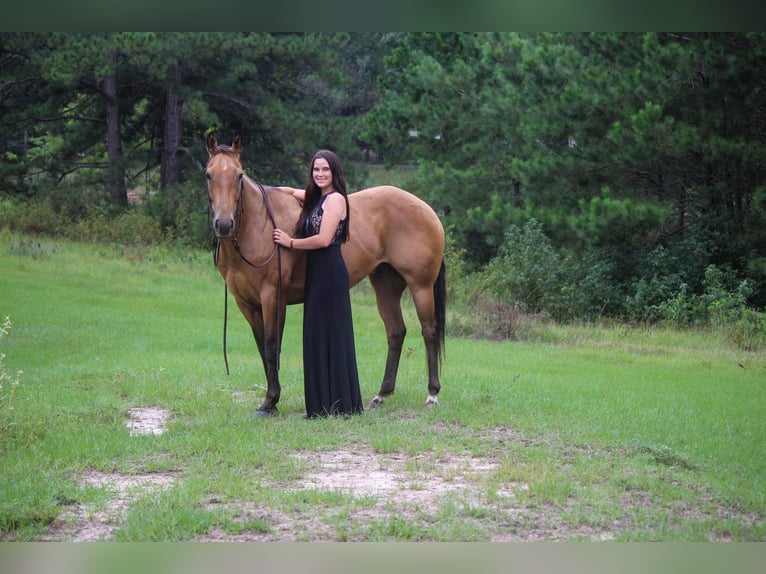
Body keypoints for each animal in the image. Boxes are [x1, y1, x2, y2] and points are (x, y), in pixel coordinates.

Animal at [204, 133, 448, 416]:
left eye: (239, 175)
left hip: (421, 287)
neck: (258, 226)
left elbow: (272, 346)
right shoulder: (246, 303)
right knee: (396, 333)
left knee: (429, 332)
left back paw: (432, 395)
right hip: (386, 287)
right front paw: (270, 402)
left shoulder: (272, 298)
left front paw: (270, 401)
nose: (224, 224)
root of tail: (428, 210)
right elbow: (261, 347)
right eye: (209, 174)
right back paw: (381, 395)